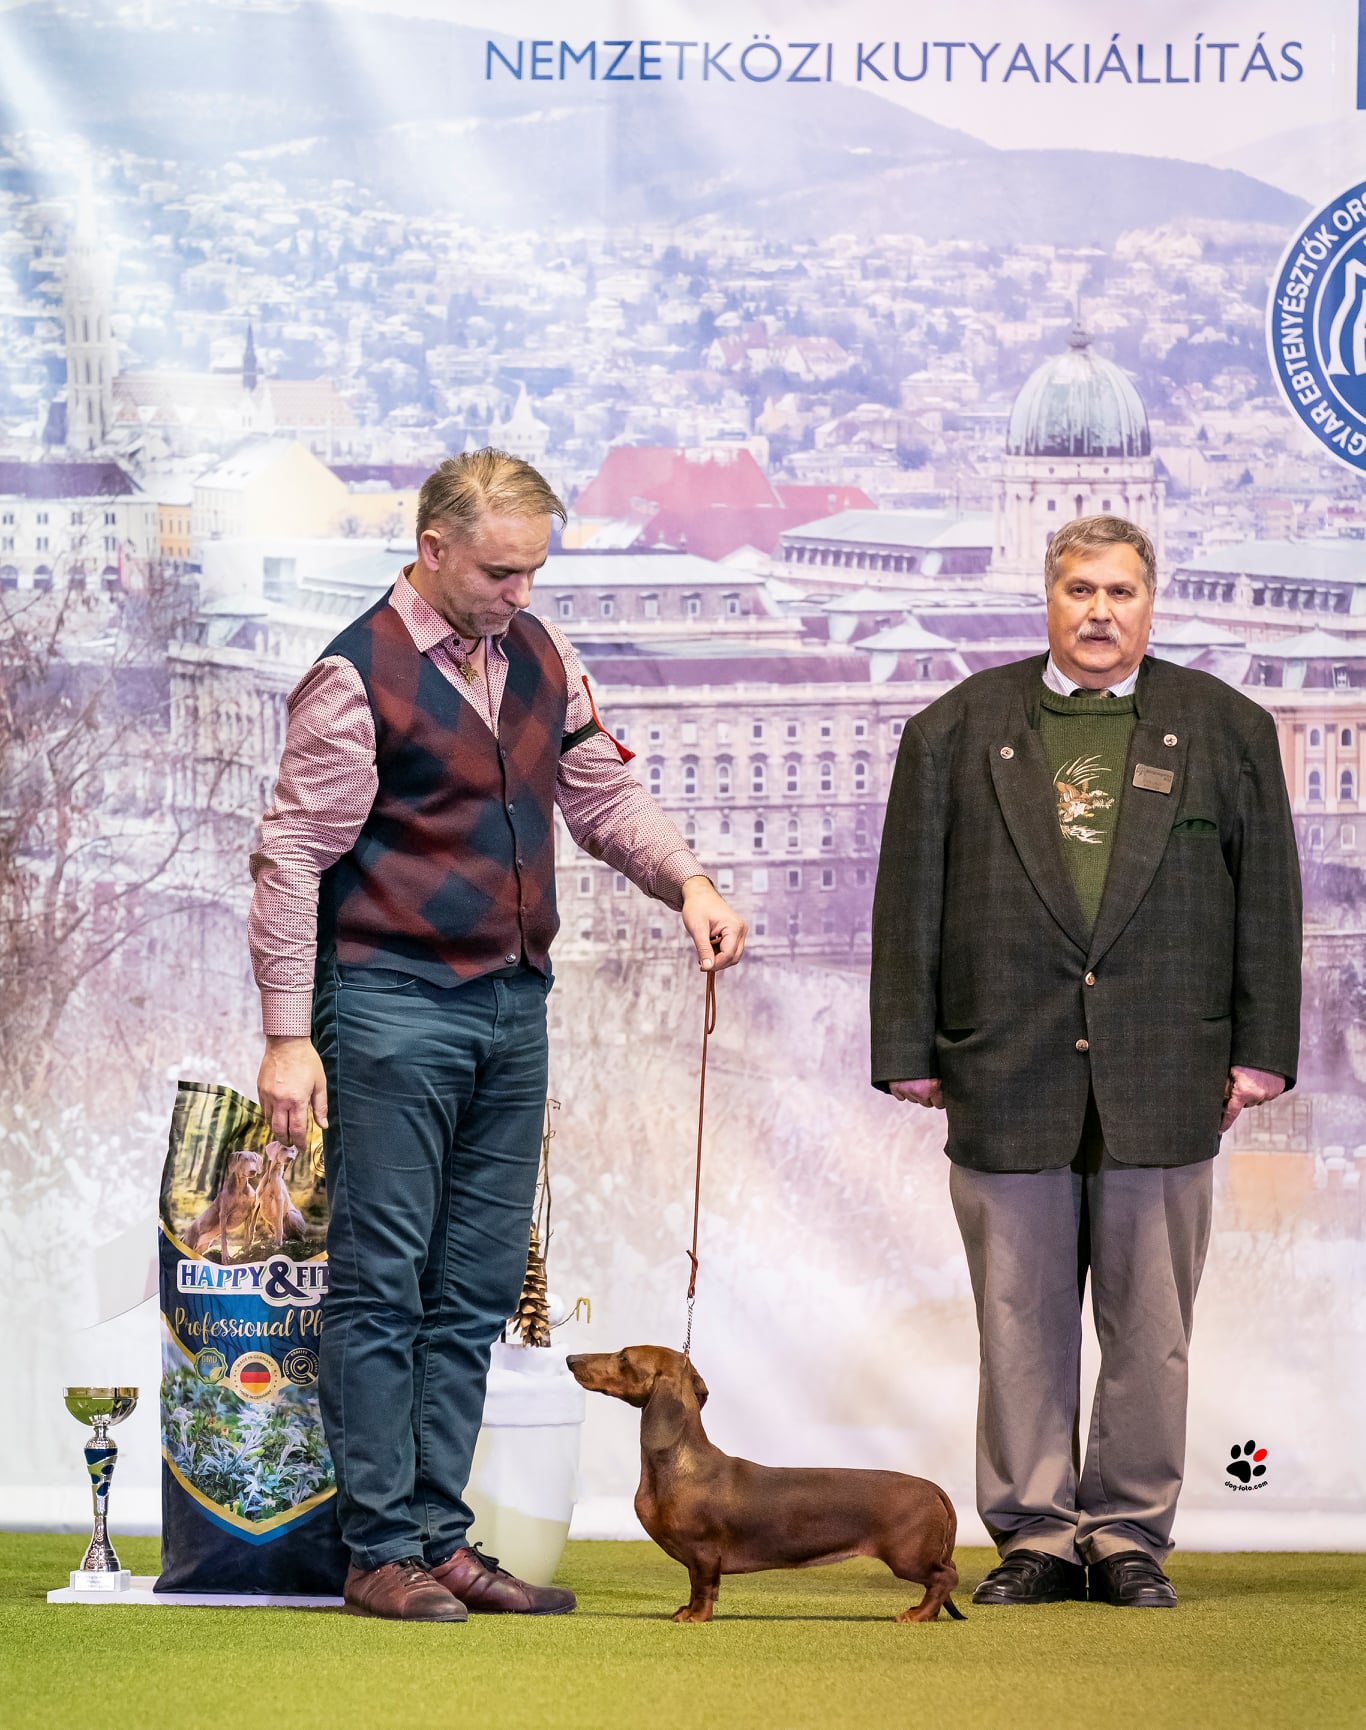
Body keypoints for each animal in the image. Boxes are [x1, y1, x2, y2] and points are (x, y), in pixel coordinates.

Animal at [567, 1345, 964, 1624]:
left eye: (623, 1357)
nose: (571, 1358)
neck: (679, 1465)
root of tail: (935, 1489)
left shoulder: (704, 1553)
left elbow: (704, 1588)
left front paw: (696, 1617)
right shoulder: (697, 1559)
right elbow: (695, 1587)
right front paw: (686, 1611)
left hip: (908, 1557)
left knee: (945, 1578)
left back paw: (917, 1614)